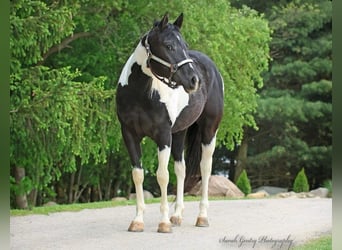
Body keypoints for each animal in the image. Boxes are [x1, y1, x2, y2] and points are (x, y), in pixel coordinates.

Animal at [117, 13, 224, 232]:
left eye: (185, 45)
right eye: (169, 45)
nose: (194, 81)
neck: (140, 94)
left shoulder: (163, 136)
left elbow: (162, 176)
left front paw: (163, 222)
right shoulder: (129, 134)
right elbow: (138, 174)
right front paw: (138, 220)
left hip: (209, 131)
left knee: (205, 169)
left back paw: (202, 217)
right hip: (180, 133)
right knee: (181, 169)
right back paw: (177, 215)